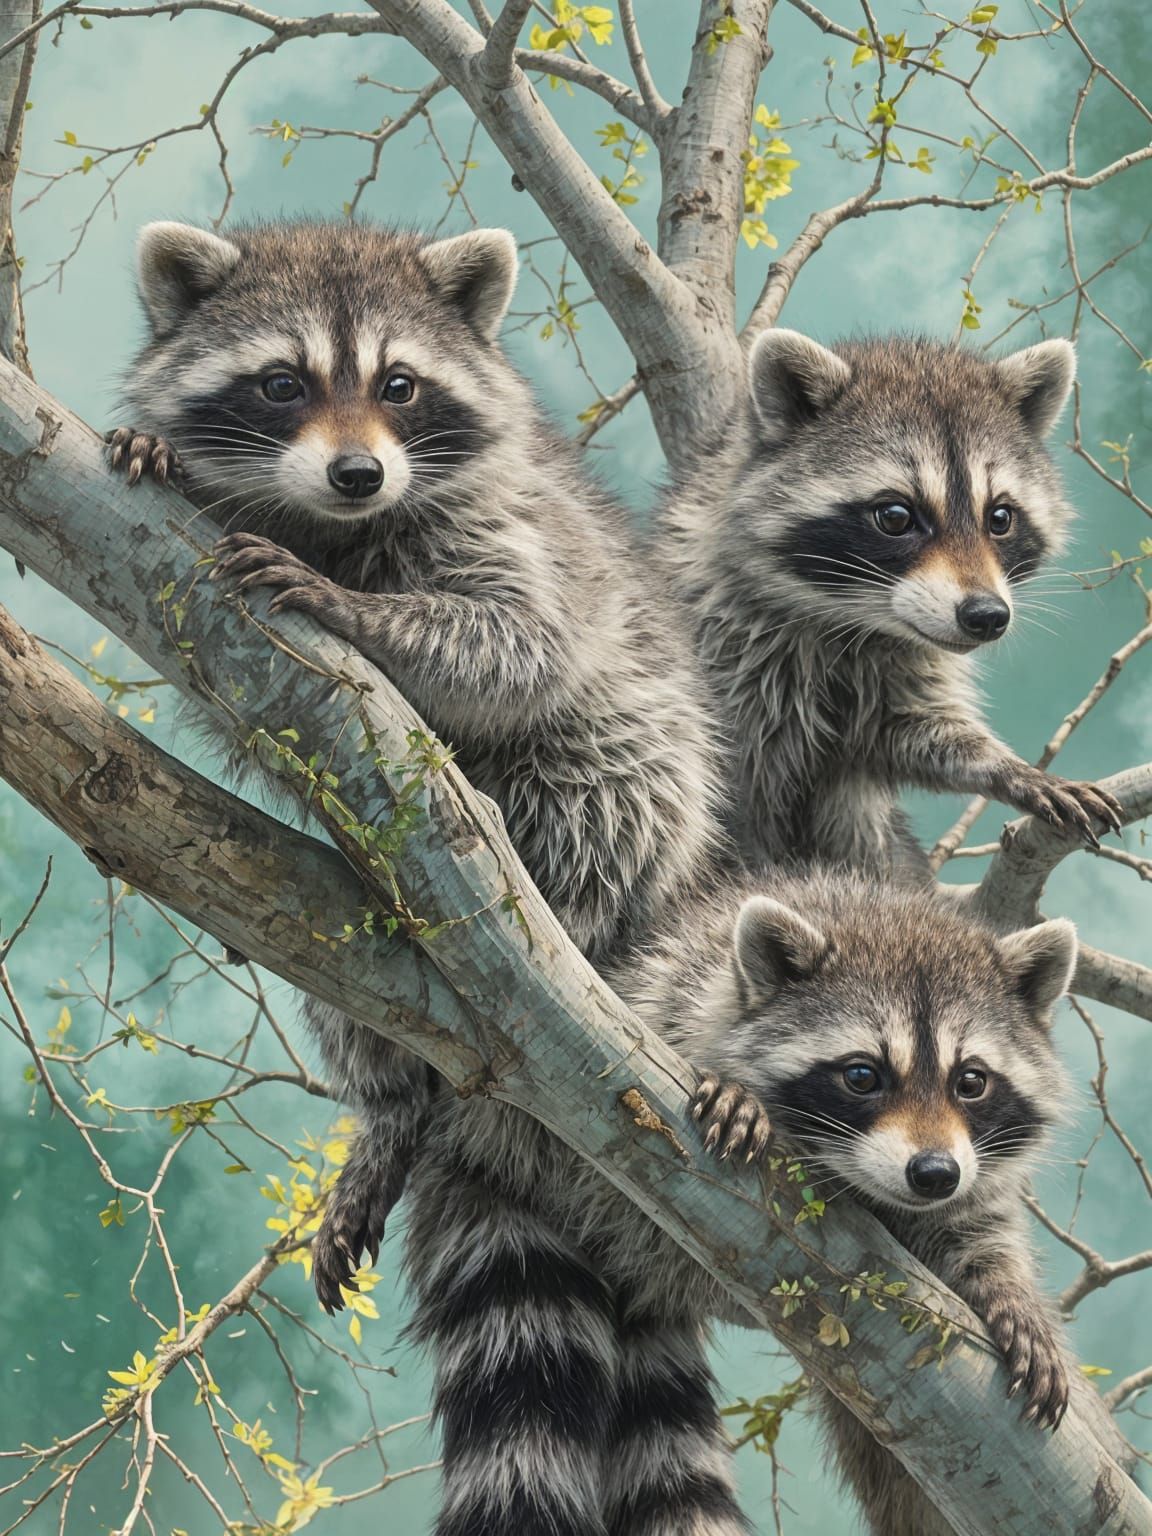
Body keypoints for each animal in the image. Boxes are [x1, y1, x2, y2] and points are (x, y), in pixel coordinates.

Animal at [111, 218, 721, 1310]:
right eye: (282, 384)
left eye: (399, 385)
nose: (358, 475)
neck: (340, 524)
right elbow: (218, 685)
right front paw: (171, 460)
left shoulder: (514, 522)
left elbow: (521, 645)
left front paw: (352, 607)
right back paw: (392, 1102)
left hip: (633, 789)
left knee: (589, 798)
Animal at [405, 864, 1084, 1536]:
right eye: (862, 1075)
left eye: (971, 1081)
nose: (934, 1174)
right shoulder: (668, 1001)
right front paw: (744, 1099)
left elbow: (977, 1225)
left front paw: (1009, 1290)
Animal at [662, 331, 1123, 874]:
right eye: (896, 516)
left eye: (1001, 518)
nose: (987, 617)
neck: (854, 619)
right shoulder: (726, 651)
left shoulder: (903, 673)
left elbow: (922, 734)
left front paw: (1006, 765)